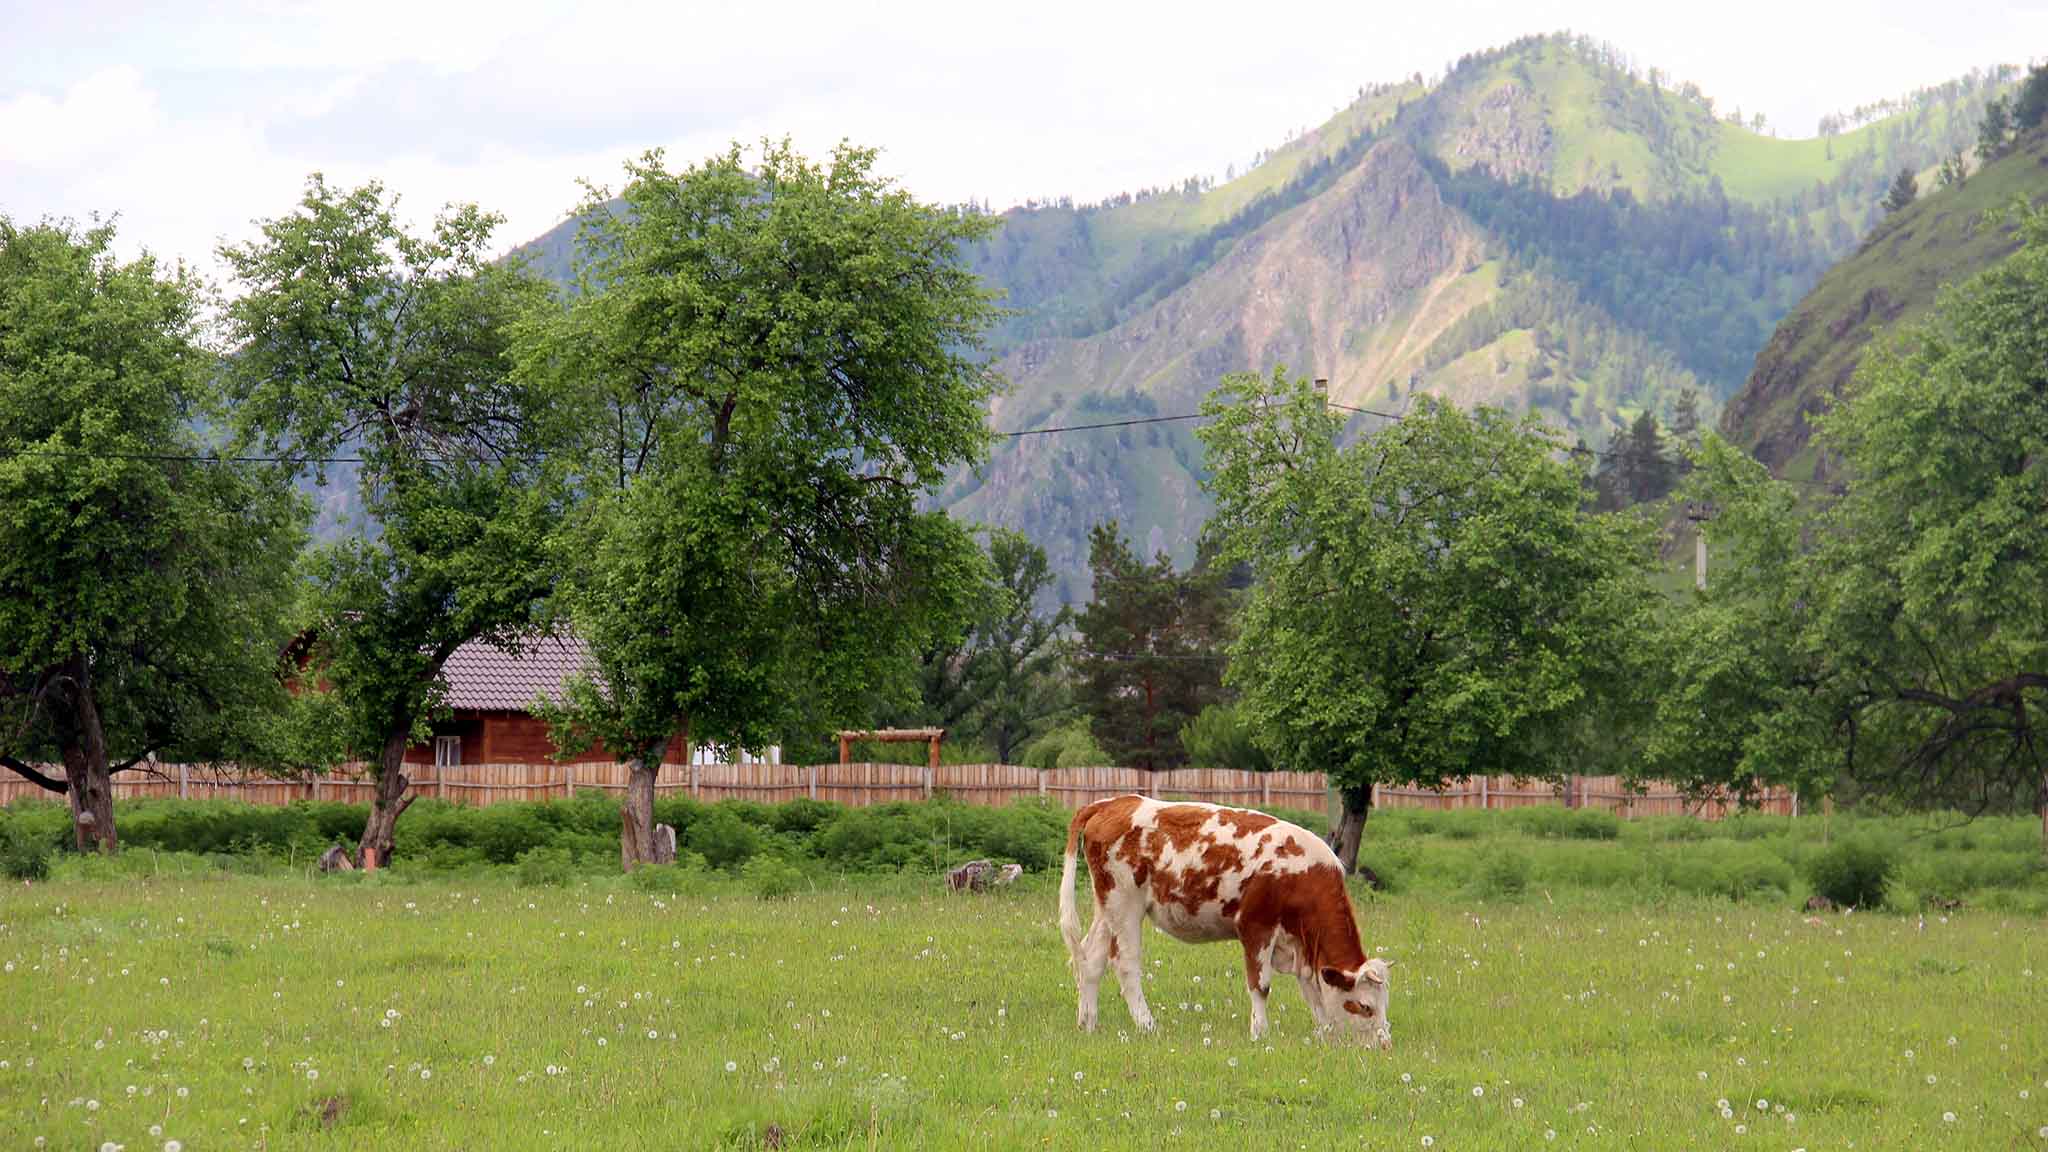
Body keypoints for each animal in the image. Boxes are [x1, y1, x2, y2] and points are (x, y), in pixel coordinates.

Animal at [1058, 794, 1393, 1046]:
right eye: (1365, 1006)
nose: (1385, 1044)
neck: (1304, 873)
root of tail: (1113, 802)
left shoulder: (1301, 946)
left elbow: (1312, 992)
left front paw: (1325, 1035)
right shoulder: (1257, 927)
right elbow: (1260, 985)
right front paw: (1260, 1034)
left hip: (1108, 908)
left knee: (1090, 959)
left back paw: (1088, 1023)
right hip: (1125, 903)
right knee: (1126, 964)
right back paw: (1147, 1025)